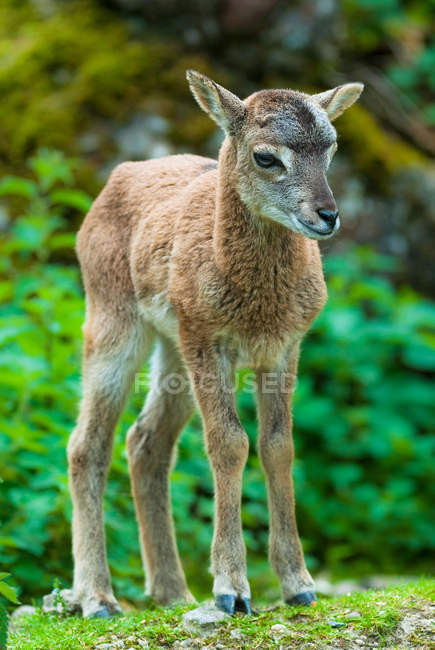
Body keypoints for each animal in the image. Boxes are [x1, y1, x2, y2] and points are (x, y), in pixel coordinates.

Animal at [68, 69, 364, 612]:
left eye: (332, 147)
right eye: (265, 156)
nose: (327, 215)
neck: (257, 305)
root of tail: (111, 185)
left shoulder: (284, 348)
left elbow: (278, 445)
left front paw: (300, 585)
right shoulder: (209, 340)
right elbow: (229, 442)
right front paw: (232, 590)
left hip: (173, 351)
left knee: (145, 441)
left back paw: (172, 591)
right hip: (114, 323)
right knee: (87, 444)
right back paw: (98, 597)